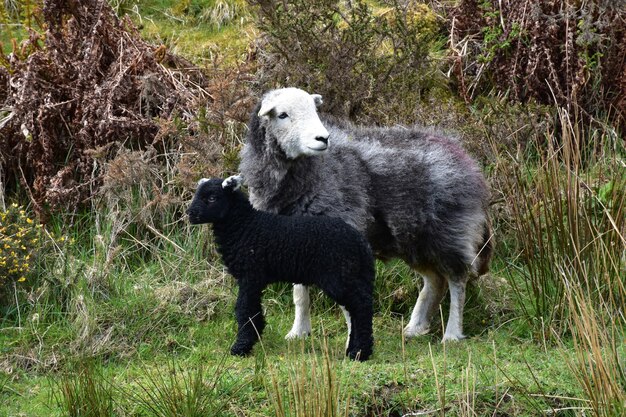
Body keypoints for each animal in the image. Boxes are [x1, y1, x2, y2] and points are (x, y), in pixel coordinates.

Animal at [184, 174, 370, 360]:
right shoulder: (253, 280)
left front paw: (241, 347)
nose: (189, 214)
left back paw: (359, 352)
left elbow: (244, 309)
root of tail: (360, 242)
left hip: (338, 277)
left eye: (212, 198)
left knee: (361, 307)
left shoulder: (250, 275)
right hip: (349, 276)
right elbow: (253, 310)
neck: (245, 225)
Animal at [239, 87, 492, 342]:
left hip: (450, 230)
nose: (323, 138)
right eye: (283, 114)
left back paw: (451, 334)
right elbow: (300, 294)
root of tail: (464, 156)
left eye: (314, 110)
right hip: (415, 239)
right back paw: (415, 327)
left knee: (458, 279)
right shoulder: (296, 238)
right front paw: (299, 333)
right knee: (435, 281)